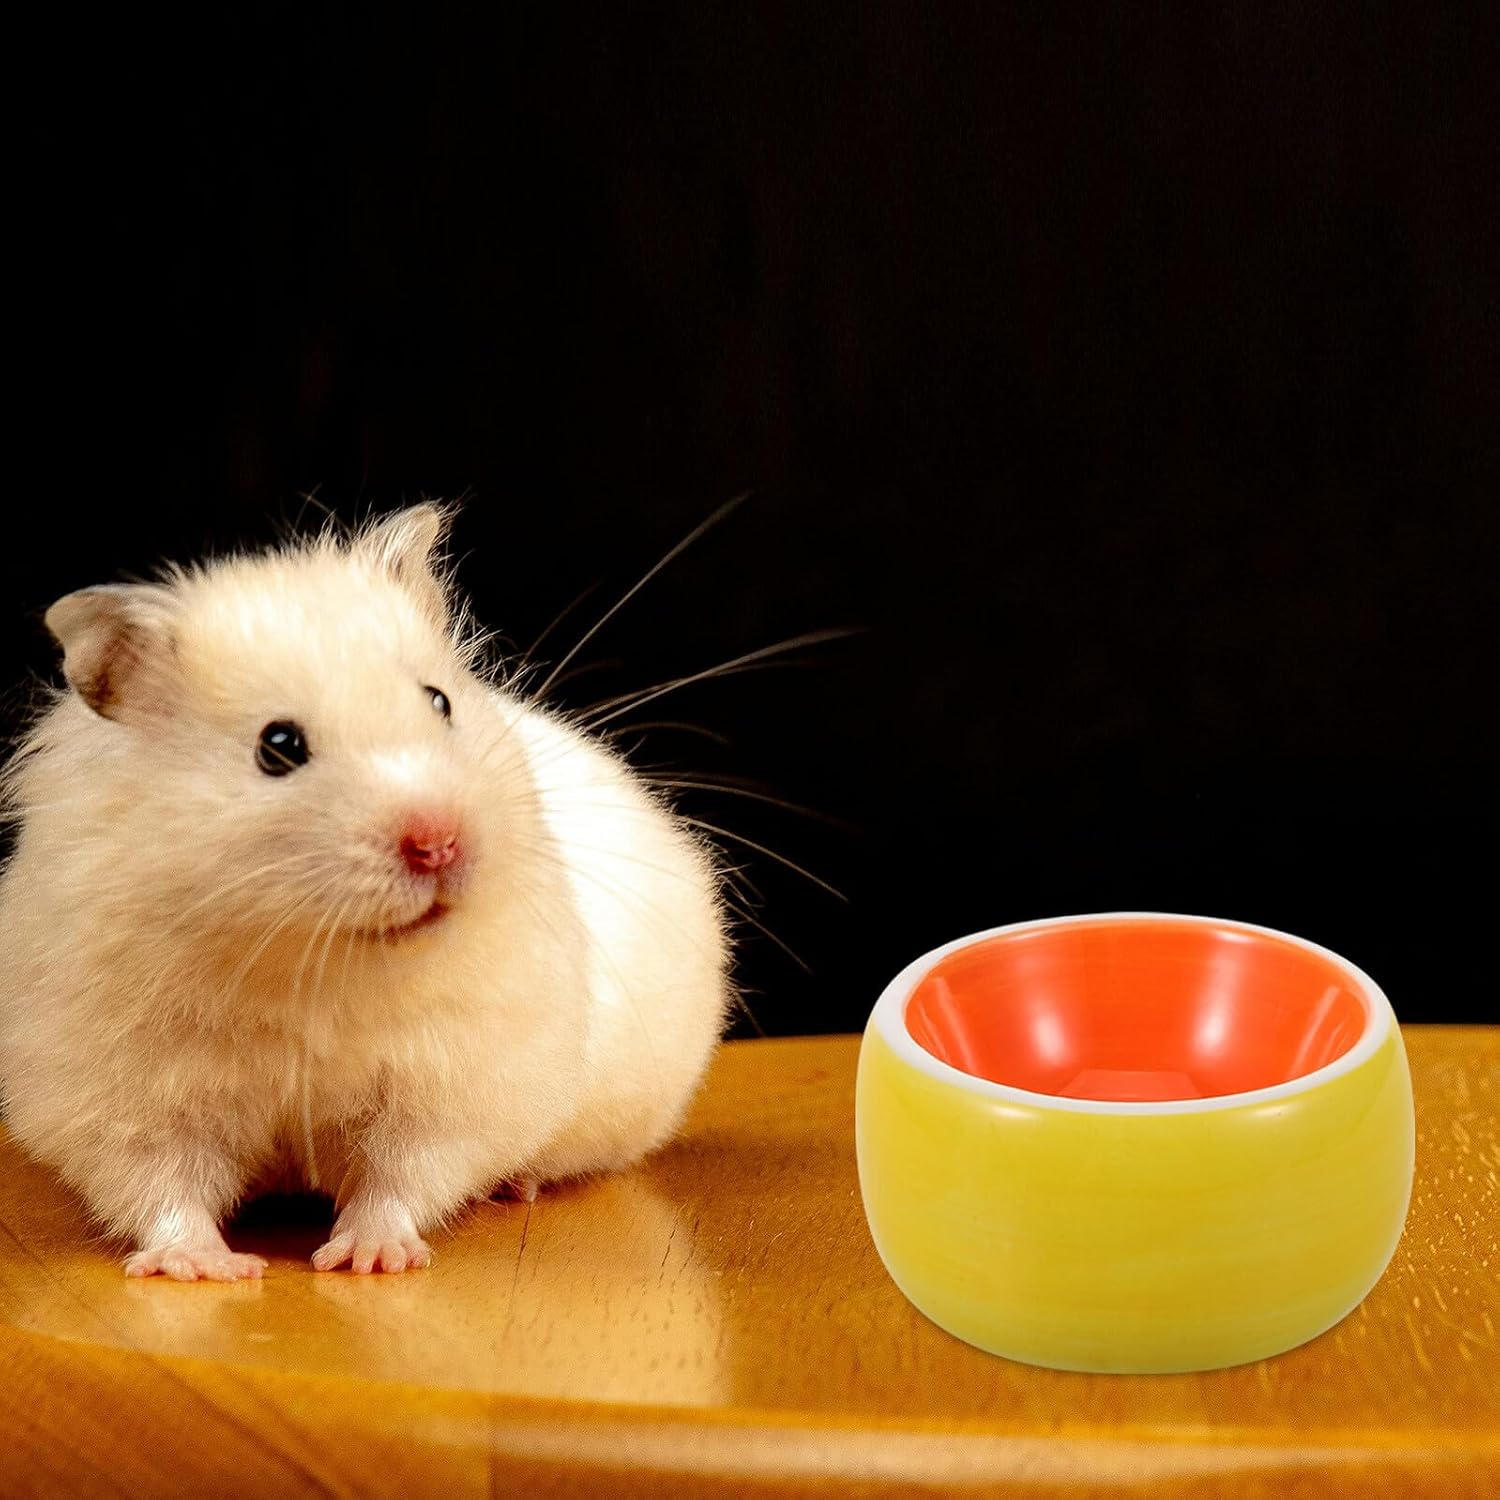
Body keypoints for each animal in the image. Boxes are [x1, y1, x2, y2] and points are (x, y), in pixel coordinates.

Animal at [0, 506, 731, 1278]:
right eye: (278, 746)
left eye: (439, 702)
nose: (439, 842)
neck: (313, 962)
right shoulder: (123, 1096)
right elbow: (160, 1186)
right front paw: (205, 1267)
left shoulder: (453, 1082)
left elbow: (403, 1173)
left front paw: (369, 1259)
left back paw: (516, 1185)